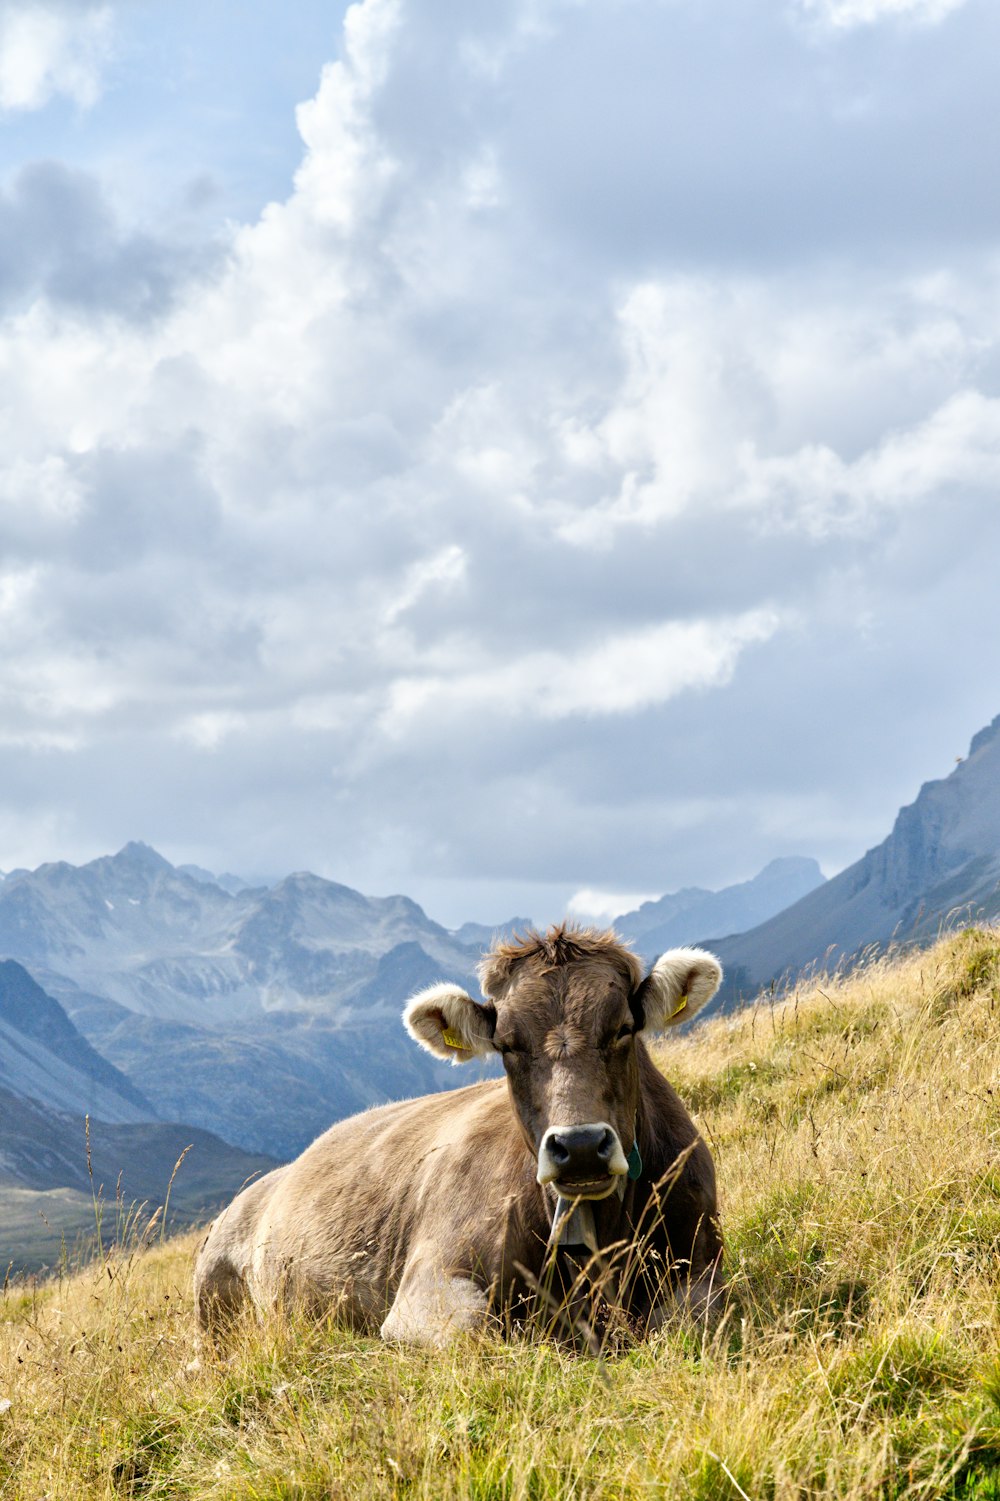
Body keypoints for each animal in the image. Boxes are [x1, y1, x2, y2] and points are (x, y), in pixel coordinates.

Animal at [195, 924, 720, 1350]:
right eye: (507, 1046)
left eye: (623, 1029)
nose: (581, 1147)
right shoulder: (427, 1285)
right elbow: (476, 1332)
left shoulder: (702, 1260)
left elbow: (689, 1320)